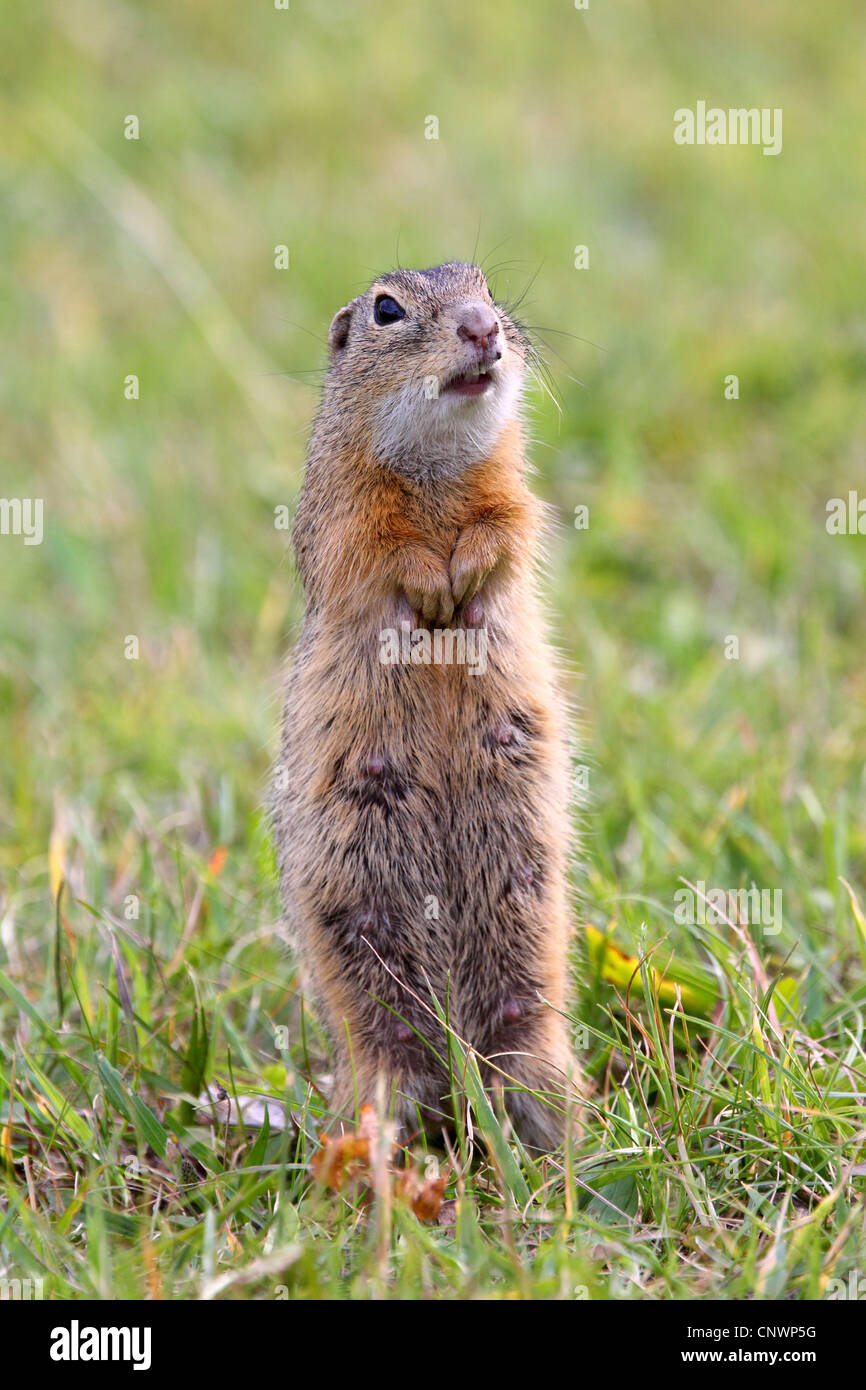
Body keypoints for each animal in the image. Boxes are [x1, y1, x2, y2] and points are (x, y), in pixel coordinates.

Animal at [273, 261, 578, 1150]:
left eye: (488, 287)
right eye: (386, 309)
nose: (483, 327)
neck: (438, 468)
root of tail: (455, 1075)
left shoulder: (511, 493)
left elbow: (508, 530)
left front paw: (462, 586)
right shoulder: (344, 509)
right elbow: (376, 550)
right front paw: (431, 592)